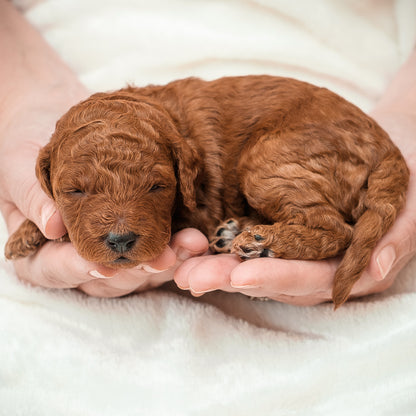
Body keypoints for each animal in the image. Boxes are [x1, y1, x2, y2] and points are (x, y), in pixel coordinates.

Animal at [5, 76, 410, 308]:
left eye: (157, 187)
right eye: (74, 191)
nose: (120, 240)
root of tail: (387, 147)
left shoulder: (195, 207)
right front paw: (26, 233)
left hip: (269, 159)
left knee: (336, 229)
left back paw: (263, 241)